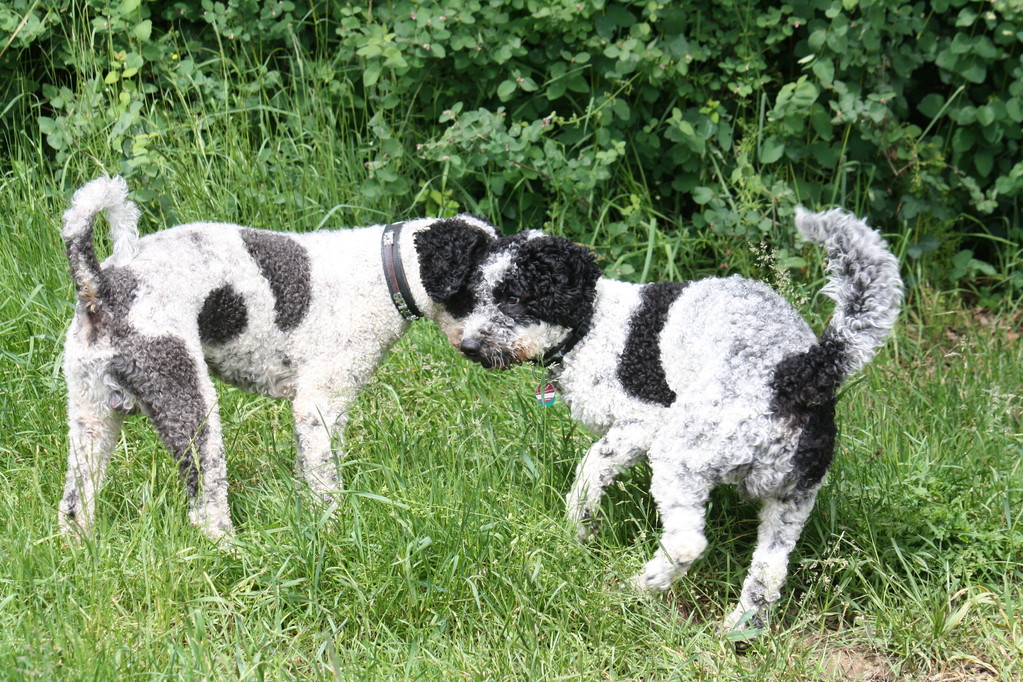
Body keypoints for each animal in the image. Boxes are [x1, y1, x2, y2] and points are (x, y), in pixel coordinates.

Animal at [59, 175, 499, 539]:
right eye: (489, 286)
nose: (495, 349)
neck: (385, 272)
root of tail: (100, 285)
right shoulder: (319, 406)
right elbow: (325, 482)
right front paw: (332, 529)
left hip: (92, 416)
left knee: (74, 502)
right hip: (187, 401)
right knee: (205, 499)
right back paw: (228, 548)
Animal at [443, 210, 900, 633]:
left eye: (514, 298)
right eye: (476, 296)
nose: (468, 346)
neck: (591, 323)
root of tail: (799, 372)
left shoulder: (643, 421)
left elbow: (591, 468)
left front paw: (577, 525)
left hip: (680, 456)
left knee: (687, 544)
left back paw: (637, 586)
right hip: (793, 496)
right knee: (768, 573)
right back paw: (738, 628)